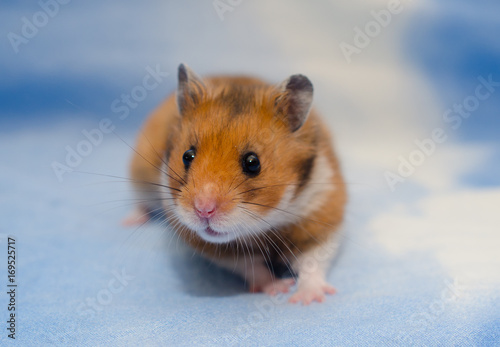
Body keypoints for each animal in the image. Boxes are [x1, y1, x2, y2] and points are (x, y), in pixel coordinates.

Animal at [127, 64, 346, 304]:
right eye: (187, 156)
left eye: (252, 162)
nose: (203, 210)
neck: (267, 223)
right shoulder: (217, 248)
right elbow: (252, 267)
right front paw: (278, 288)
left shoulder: (322, 215)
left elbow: (312, 261)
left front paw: (306, 299)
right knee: (140, 203)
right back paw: (130, 222)